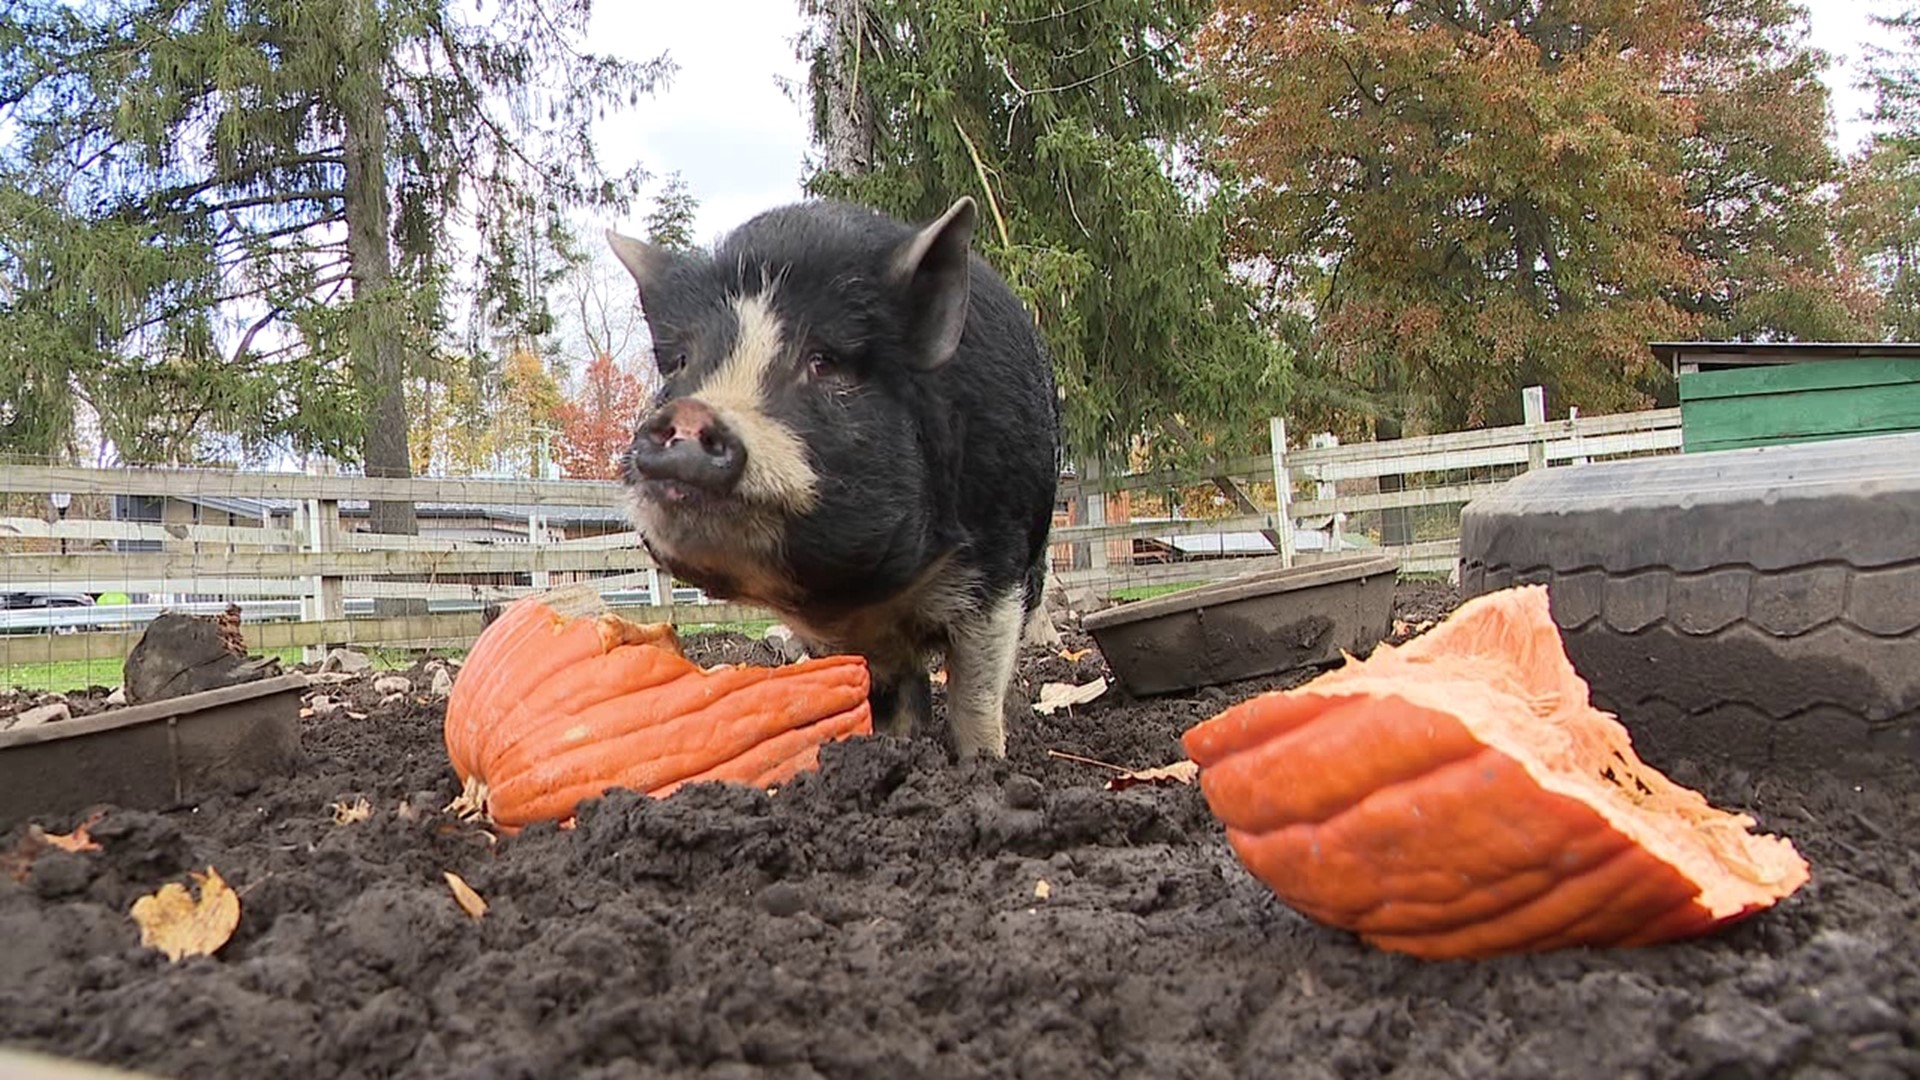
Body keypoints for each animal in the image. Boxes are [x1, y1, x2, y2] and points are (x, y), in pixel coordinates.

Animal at [606, 197, 1067, 760]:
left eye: (824, 362)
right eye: (681, 363)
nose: (692, 412)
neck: (864, 592)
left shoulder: (996, 560)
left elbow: (975, 692)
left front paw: (983, 763)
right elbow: (881, 692)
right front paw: (890, 747)